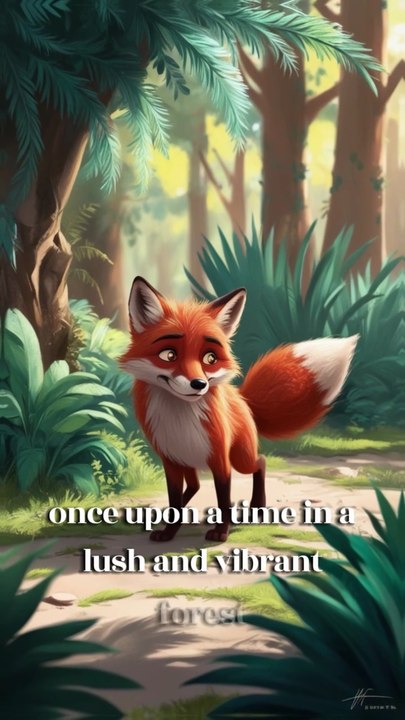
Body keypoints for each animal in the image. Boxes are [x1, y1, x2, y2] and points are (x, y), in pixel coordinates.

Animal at [121, 277, 358, 543]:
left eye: (210, 359)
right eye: (169, 355)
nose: (199, 384)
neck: (180, 418)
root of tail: (242, 398)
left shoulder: (220, 460)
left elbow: (224, 500)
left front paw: (221, 532)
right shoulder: (171, 462)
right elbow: (175, 502)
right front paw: (169, 530)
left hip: (241, 458)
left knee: (260, 462)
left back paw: (257, 506)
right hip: (190, 462)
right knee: (195, 486)